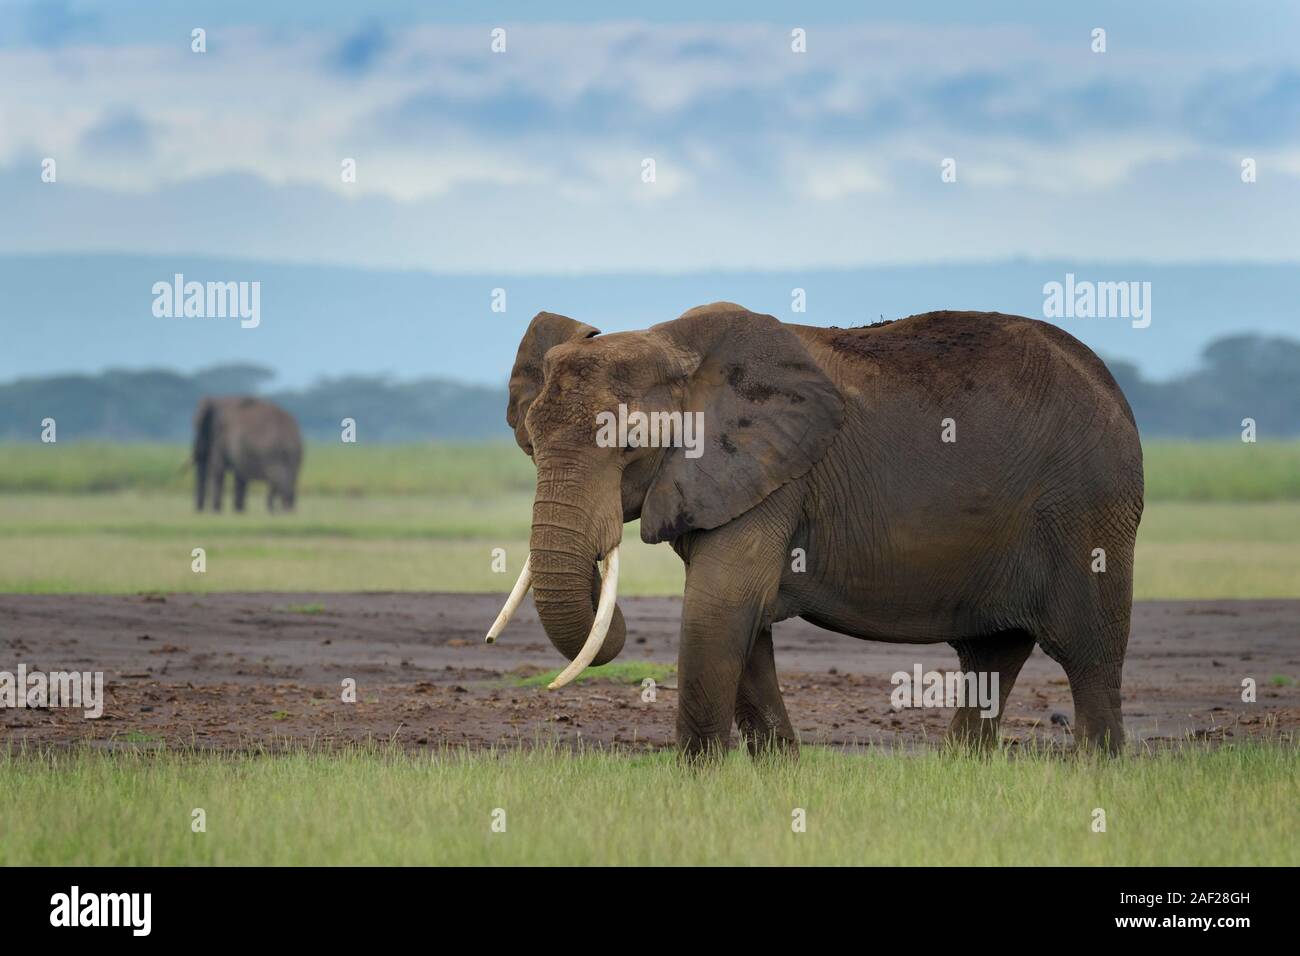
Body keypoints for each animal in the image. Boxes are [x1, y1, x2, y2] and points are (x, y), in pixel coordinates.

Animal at [484, 303, 1144, 758]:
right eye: (531, 440)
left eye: (630, 443)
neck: (673, 345)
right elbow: (740, 623)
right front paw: (779, 773)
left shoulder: (773, 476)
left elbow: (719, 608)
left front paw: (698, 780)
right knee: (992, 652)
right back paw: (961, 769)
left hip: (1088, 506)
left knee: (1087, 653)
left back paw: (1094, 775)